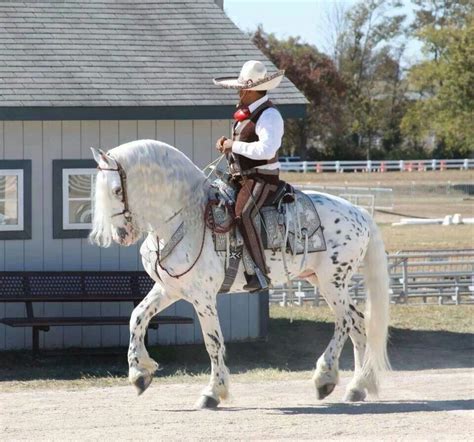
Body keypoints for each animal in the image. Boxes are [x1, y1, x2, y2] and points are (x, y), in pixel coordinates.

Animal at [90, 140, 390, 410]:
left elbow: (213, 342)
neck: (185, 218)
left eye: (116, 190)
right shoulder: (169, 289)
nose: (121, 235)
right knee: (358, 323)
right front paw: (139, 374)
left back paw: (325, 377)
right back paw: (357, 387)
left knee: (345, 322)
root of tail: (359, 212)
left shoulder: (203, 298)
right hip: (321, 280)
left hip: (332, 282)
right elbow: (137, 317)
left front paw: (213, 392)